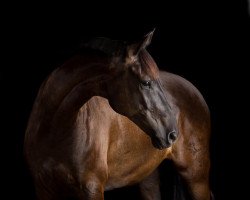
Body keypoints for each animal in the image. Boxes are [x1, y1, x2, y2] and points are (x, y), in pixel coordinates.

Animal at [24, 30, 214, 199]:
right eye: (146, 82)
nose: (172, 134)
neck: (54, 131)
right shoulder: (43, 190)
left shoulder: (92, 188)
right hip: (148, 176)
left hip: (196, 177)